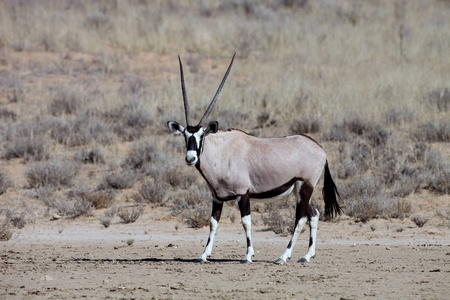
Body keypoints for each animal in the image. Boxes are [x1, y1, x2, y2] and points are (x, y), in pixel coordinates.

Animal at [168, 52, 342, 264]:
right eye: (185, 136)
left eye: (202, 135)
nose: (190, 158)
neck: (222, 152)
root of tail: (320, 149)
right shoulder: (217, 197)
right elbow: (212, 223)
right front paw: (203, 255)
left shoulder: (243, 194)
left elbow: (246, 222)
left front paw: (247, 255)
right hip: (298, 189)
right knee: (314, 214)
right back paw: (307, 255)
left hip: (305, 186)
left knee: (300, 219)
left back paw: (283, 256)